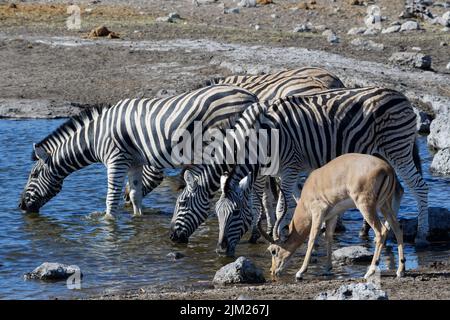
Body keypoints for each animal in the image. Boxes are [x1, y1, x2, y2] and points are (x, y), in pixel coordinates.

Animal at [19, 84, 258, 218]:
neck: (95, 137)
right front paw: (137, 218)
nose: (20, 206)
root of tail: (252, 97)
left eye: (34, 175)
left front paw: (108, 222)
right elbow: (135, 194)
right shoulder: (134, 162)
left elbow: (112, 197)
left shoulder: (116, 160)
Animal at [173, 86, 428, 256]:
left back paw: (421, 235)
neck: (258, 138)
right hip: (381, 154)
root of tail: (400, 96)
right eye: (216, 213)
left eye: (235, 213)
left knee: (419, 187)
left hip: (398, 148)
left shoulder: (288, 168)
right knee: (399, 189)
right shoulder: (271, 171)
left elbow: (279, 206)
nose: (220, 250)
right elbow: (285, 200)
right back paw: (386, 228)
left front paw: (276, 237)